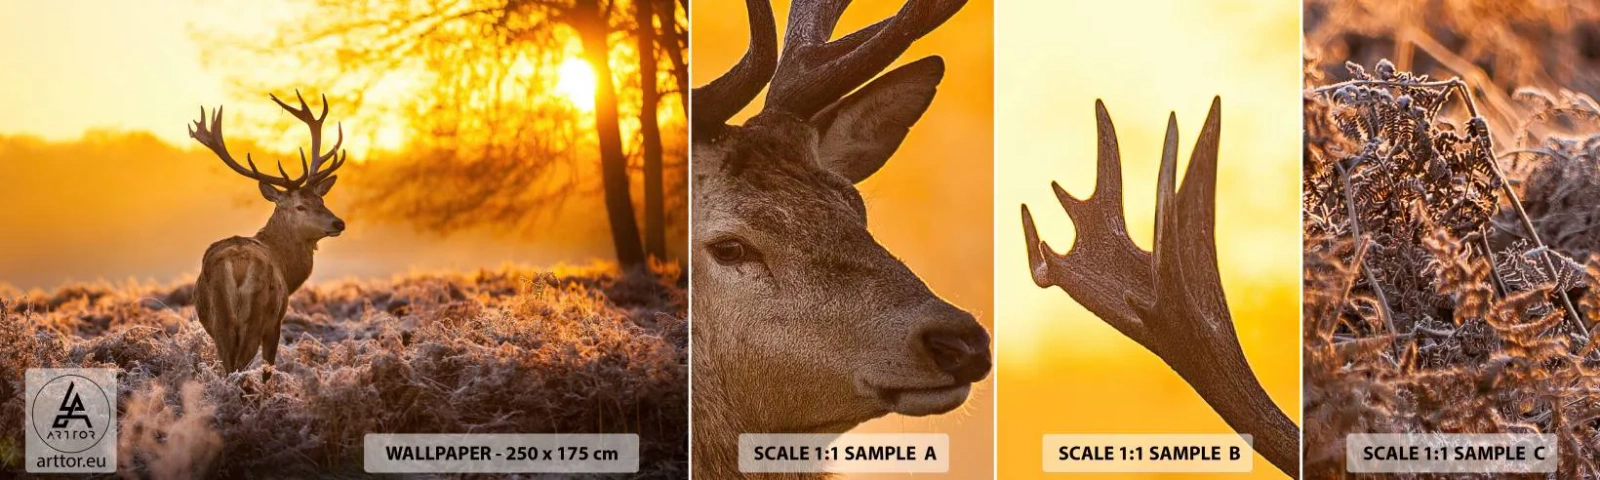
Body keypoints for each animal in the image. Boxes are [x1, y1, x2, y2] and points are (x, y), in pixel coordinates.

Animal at [188, 91, 347, 380]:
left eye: (321, 200)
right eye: (300, 206)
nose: (338, 223)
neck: (287, 268)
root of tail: (238, 264)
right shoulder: (276, 322)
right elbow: (269, 367)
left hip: (220, 321)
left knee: (228, 367)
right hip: (258, 315)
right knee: (239, 367)